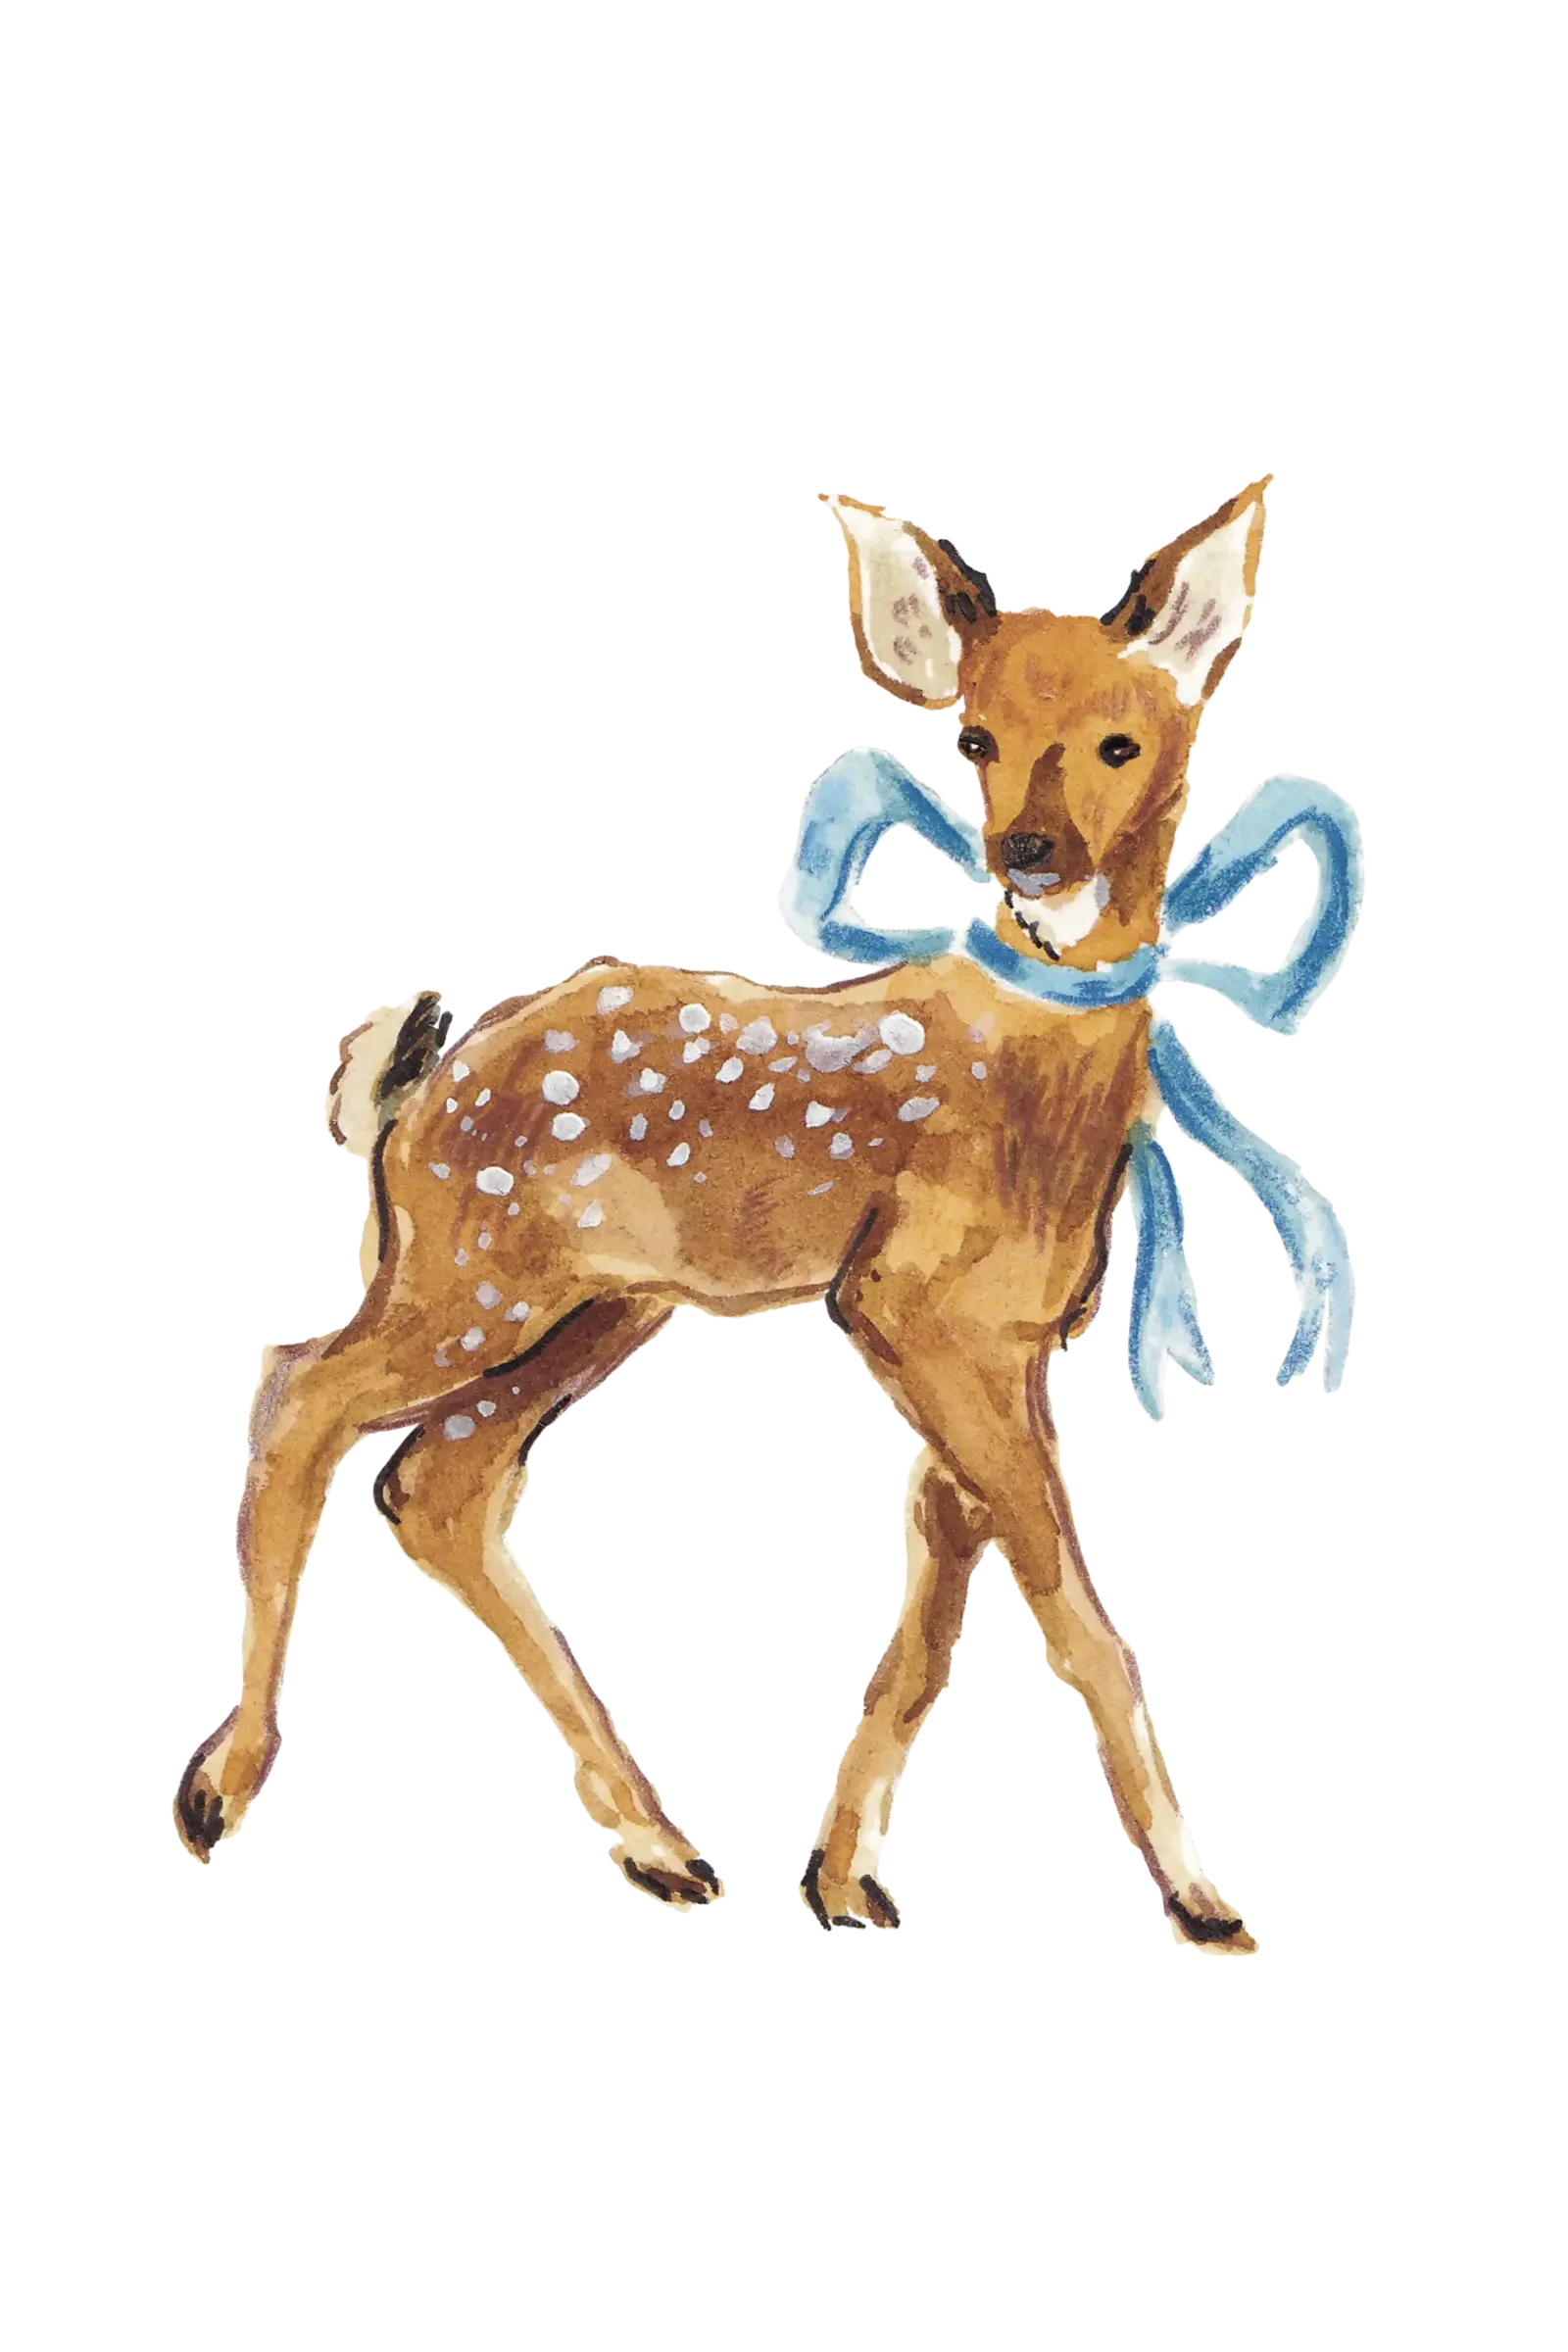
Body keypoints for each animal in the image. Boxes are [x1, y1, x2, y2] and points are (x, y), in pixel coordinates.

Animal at [173, 476, 1283, 1953]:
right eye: (974, 736)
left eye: (1120, 739)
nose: (1029, 852)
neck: (1041, 1094)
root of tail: (412, 1092)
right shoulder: (912, 1306)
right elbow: (1076, 1613)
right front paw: (1203, 1898)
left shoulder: (1002, 1340)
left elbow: (933, 1619)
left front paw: (844, 1878)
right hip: (477, 1271)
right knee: (300, 1393)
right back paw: (218, 1790)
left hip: (599, 1301)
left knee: (438, 1481)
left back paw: (662, 1848)